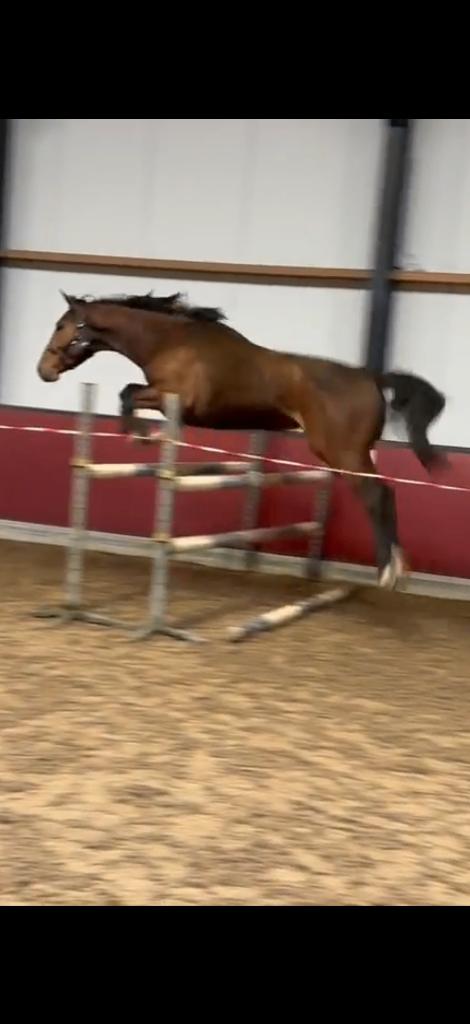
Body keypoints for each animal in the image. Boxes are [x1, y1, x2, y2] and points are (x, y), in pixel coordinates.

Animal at [37, 290, 446, 590]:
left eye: (61, 325)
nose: (44, 371)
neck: (169, 341)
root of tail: (371, 378)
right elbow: (128, 392)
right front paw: (141, 434)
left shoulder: (177, 400)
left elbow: (128, 393)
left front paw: (140, 435)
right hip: (346, 454)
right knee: (385, 493)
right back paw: (396, 568)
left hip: (344, 453)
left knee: (378, 496)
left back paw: (389, 571)